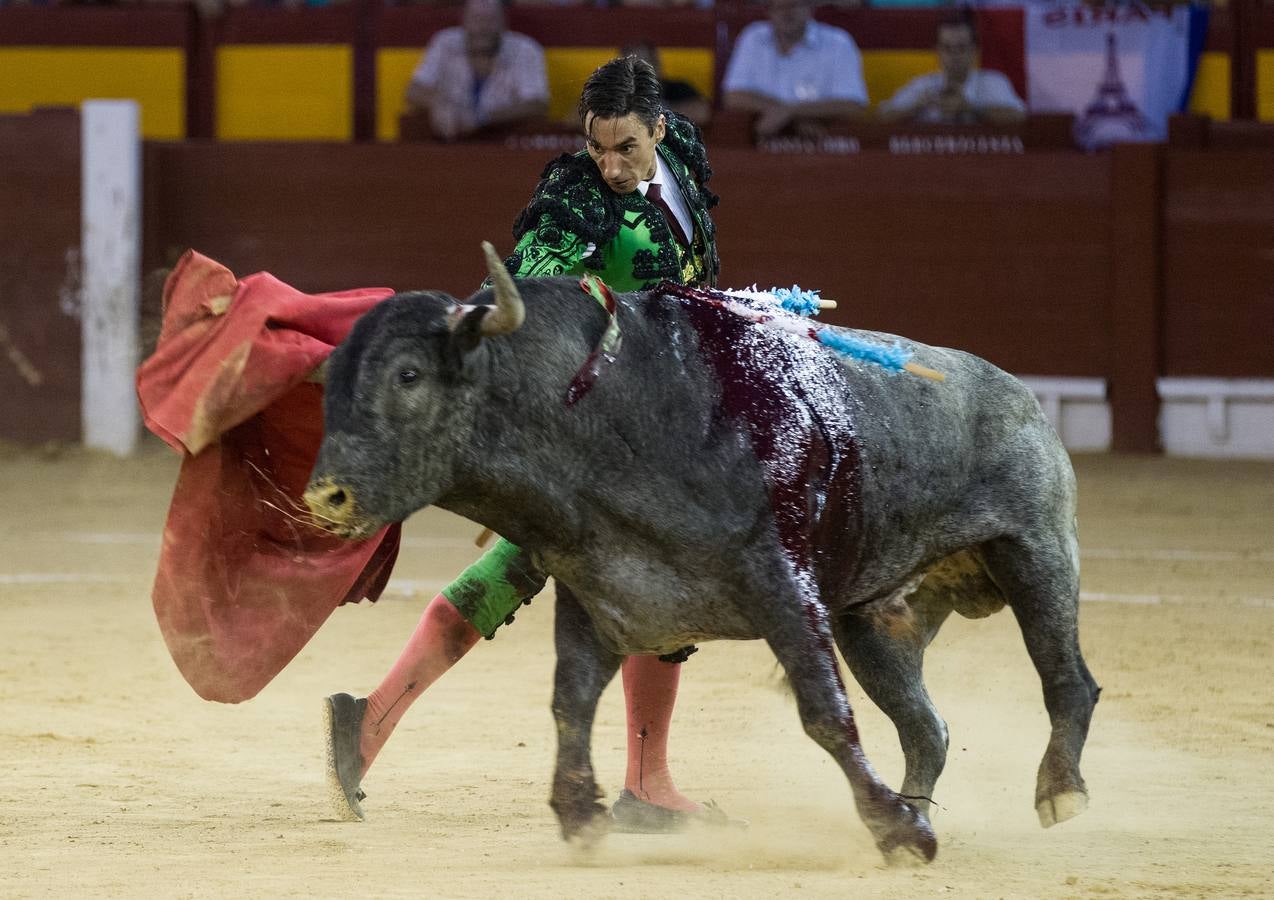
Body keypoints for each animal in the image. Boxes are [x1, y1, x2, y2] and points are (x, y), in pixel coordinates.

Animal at [303, 243, 1100, 861]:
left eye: (408, 375)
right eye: (331, 382)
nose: (325, 497)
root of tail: (1019, 395)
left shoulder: (785, 588)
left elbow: (824, 712)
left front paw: (897, 834)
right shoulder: (597, 589)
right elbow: (570, 701)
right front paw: (581, 814)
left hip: (1035, 551)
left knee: (1068, 682)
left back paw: (1056, 793)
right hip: (872, 621)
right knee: (927, 729)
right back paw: (917, 809)